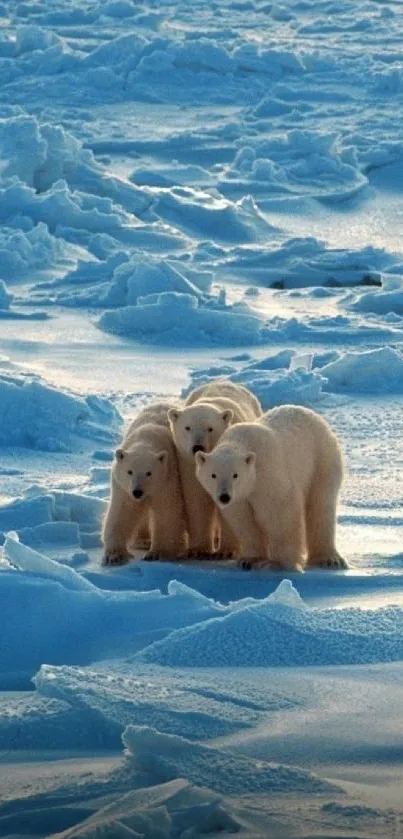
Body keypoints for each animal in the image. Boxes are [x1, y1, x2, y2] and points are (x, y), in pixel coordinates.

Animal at [102, 404, 188, 568]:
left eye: (149, 473)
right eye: (130, 471)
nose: (138, 492)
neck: (146, 439)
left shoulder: (167, 478)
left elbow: (167, 511)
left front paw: (157, 553)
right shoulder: (122, 487)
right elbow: (123, 511)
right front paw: (114, 556)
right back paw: (142, 541)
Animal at [167, 382, 262, 556]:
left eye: (210, 428)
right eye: (187, 427)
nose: (197, 447)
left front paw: (227, 550)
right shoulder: (188, 463)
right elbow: (197, 499)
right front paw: (198, 549)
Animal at [195, 406, 348, 576]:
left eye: (235, 475)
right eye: (213, 475)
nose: (224, 497)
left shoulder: (268, 475)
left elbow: (280, 512)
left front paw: (279, 563)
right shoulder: (240, 499)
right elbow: (244, 521)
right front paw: (249, 560)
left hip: (321, 459)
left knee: (321, 505)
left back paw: (329, 559)